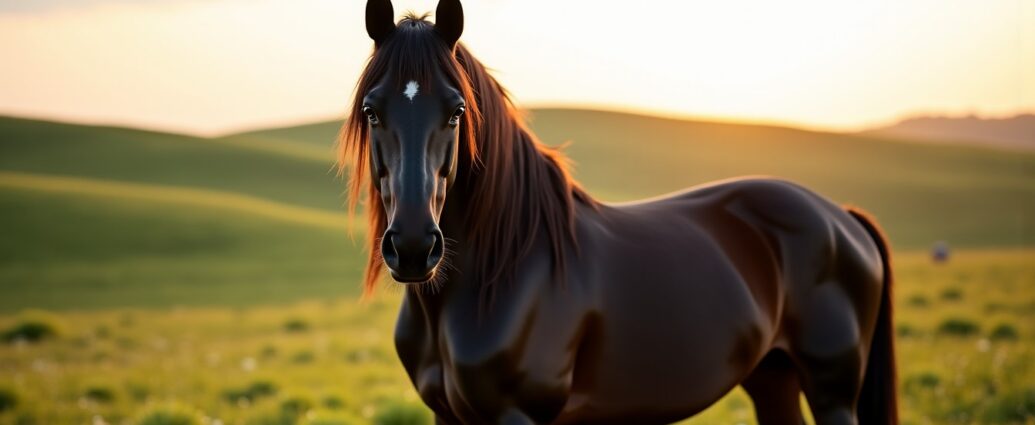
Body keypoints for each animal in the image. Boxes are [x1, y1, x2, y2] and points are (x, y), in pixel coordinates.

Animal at [339, 1, 898, 423]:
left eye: (456, 111)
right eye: (371, 111)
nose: (414, 247)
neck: (504, 270)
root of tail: (842, 218)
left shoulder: (519, 413)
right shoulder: (446, 415)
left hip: (832, 391)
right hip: (772, 378)